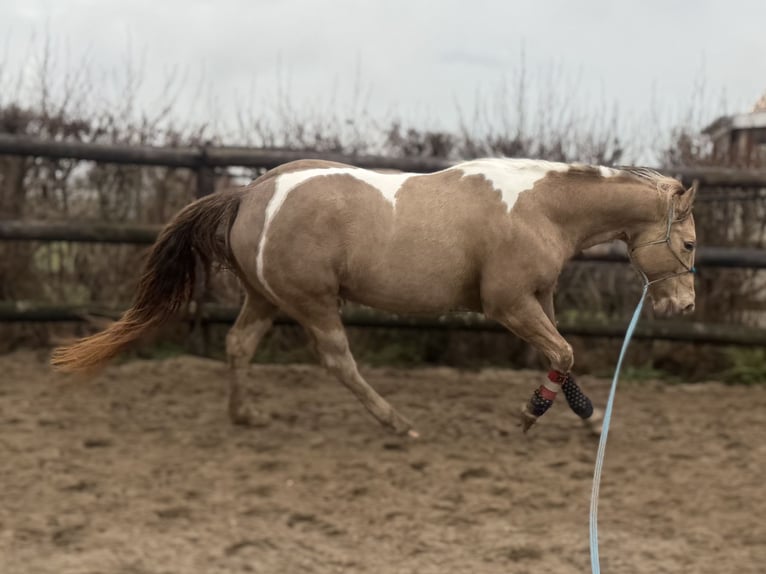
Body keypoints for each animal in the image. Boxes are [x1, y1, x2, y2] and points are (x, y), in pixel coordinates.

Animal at [51, 158, 697, 435]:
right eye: (689, 242)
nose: (682, 307)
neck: (537, 207)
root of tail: (253, 192)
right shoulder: (509, 303)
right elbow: (562, 352)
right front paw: (529, 414)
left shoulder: (539, 297)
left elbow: (562, 356)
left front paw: (587, 415)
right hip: (313, 302)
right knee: (339, 361)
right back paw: (397, 422)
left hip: (266, 297)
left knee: (238, 345)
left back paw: (246, 415)